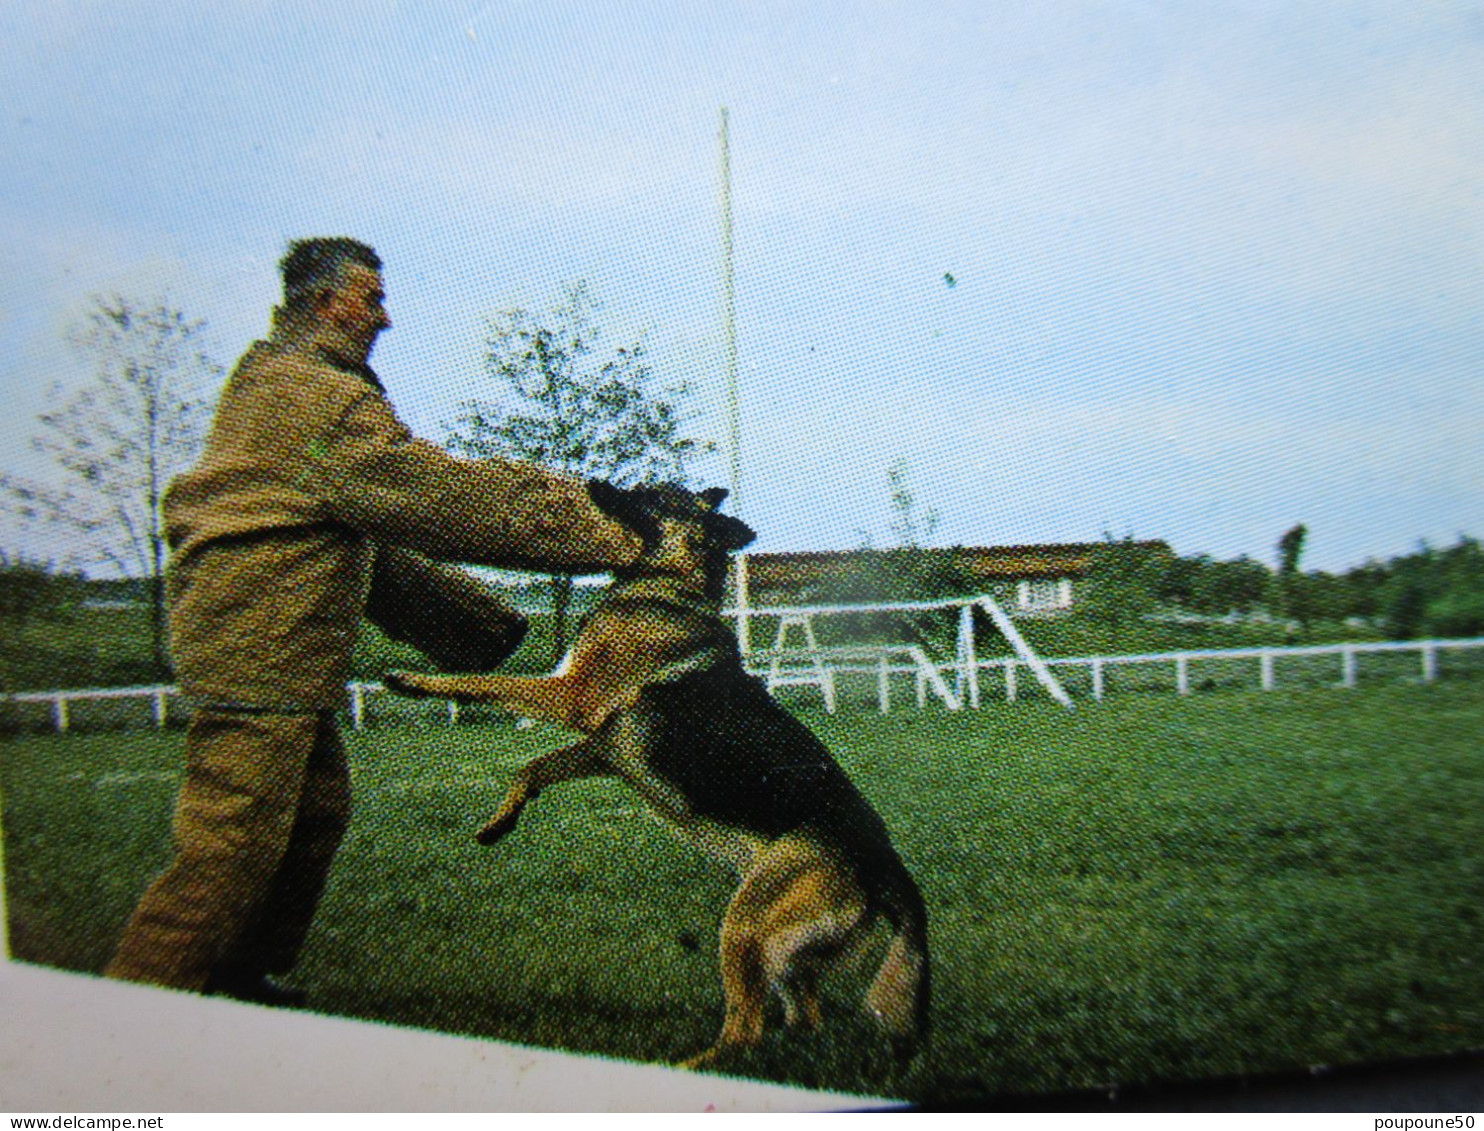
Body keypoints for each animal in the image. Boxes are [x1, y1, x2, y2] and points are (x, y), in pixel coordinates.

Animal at [382, 477, 926, 1068]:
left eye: (656, 495)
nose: (595, 482)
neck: (667, 587)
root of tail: (885, 863)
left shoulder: (574, 699)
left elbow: (484, 683)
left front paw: (413, 681)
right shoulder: (606, 749)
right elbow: (531, 769)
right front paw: (500, 822)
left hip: (744, 926)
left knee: (746, 1030)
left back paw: (687, 1065)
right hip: (783, 950)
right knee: (800, 1020)